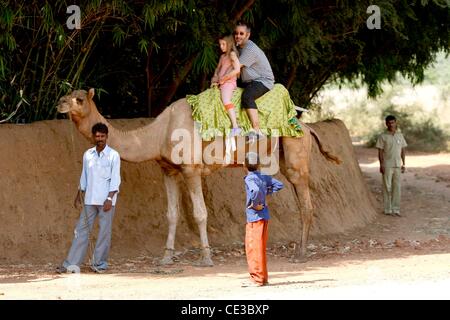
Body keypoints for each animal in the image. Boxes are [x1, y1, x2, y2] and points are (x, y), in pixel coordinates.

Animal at [57, 87, 338, 264]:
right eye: (69, 94)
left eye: (80, 99)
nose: (60, 102)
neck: (159, 133)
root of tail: (308, 127)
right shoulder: (168, 170)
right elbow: (172, 215)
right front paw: (166, 258)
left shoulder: (191, 169)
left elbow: (200, 213)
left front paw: (206, 258)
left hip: (295, 154)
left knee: (305, 203)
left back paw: (300, 254)